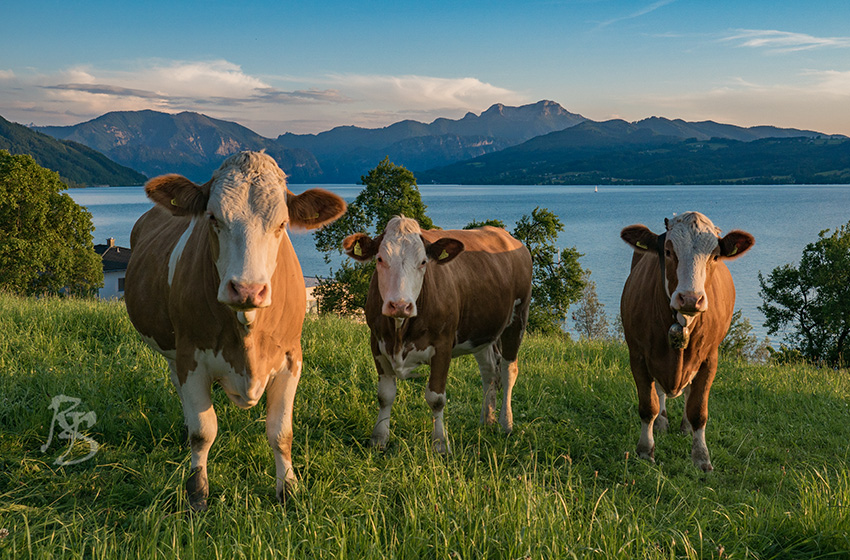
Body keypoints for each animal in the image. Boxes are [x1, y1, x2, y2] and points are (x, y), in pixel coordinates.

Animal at [121, 151, 344, 510]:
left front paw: (289, 489)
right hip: (173, 350)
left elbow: (281, 432)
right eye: (213, 217)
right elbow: (203, 431)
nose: (247, 289)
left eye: (282, 224)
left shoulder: (292, 358)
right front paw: (197, 492)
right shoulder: (191, 358)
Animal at [340, 217, 528, 452]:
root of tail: (506, 235)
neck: (400, 333)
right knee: (489, 371)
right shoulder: (376, 342)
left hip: (518, 317)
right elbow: (385, 395)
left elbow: (436, 398)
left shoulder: (443, 345)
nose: (400, 305)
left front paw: (440, 444)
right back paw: (487, 420)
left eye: (423, 262)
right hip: (480, 331)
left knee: (508, 370)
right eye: (380, 259)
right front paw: (379, 439)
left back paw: (505, 423)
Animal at [620, 212, 752, 470]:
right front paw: (645, 450)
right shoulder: (638, 354)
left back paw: (685, 427)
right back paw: (662, 423)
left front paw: (701, 457)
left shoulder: (710, 358)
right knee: (659, 392)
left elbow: (699, 410)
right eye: (669, 251)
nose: (690, 299)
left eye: (715, 256)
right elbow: (648, 406)